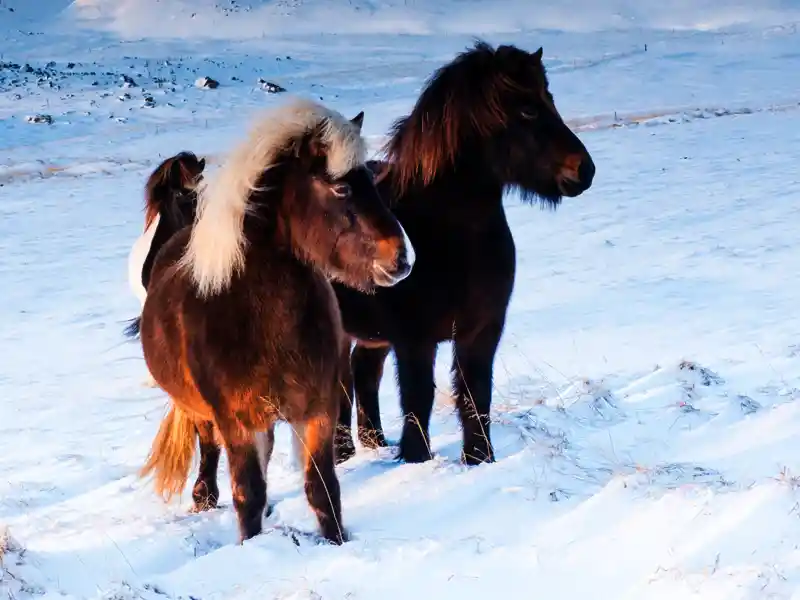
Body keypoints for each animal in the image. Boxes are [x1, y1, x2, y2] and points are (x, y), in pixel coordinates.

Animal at [137, 98, 416, 544]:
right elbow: (247, 493)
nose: (401, 259)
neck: (260, 321)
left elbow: (322, 488)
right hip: (202, 412)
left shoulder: (317, 411)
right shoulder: (237, 423)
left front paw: (336, 541)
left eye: (372, 180)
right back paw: (204, 496)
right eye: (340, 187)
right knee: (209, 447)